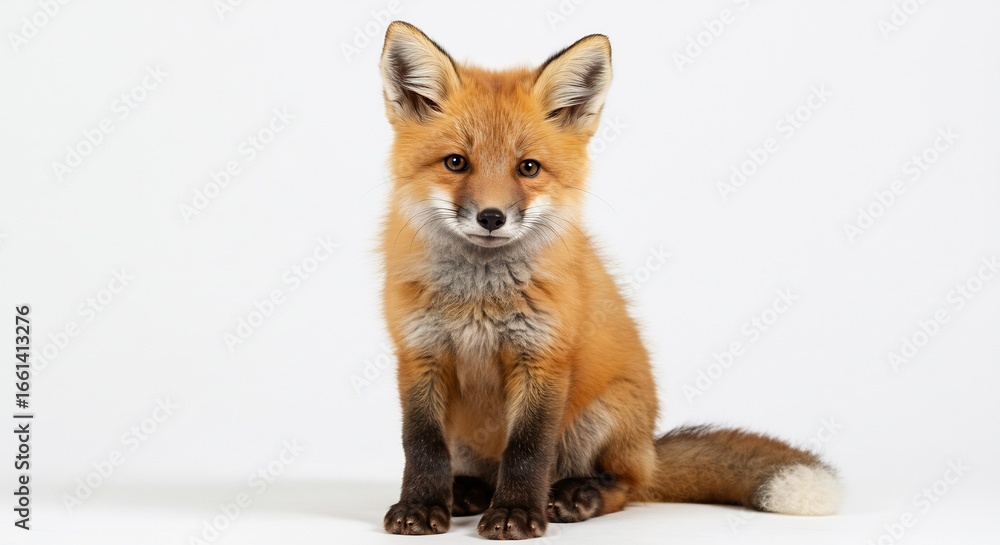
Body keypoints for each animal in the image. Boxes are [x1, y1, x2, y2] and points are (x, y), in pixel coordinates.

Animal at [377, 21, 841, 539]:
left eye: (528, 167)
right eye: (456, 162)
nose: (492, 217)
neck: (480, 297)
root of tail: (650, 450)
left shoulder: (544, 358)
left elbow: (528, 450)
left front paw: (517, 513)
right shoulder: (419, 353)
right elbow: (421, 445)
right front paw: (420, 505)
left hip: (598, 419)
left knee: (622, 487)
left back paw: (574, 497)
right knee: (480, 471)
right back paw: (467, 493)